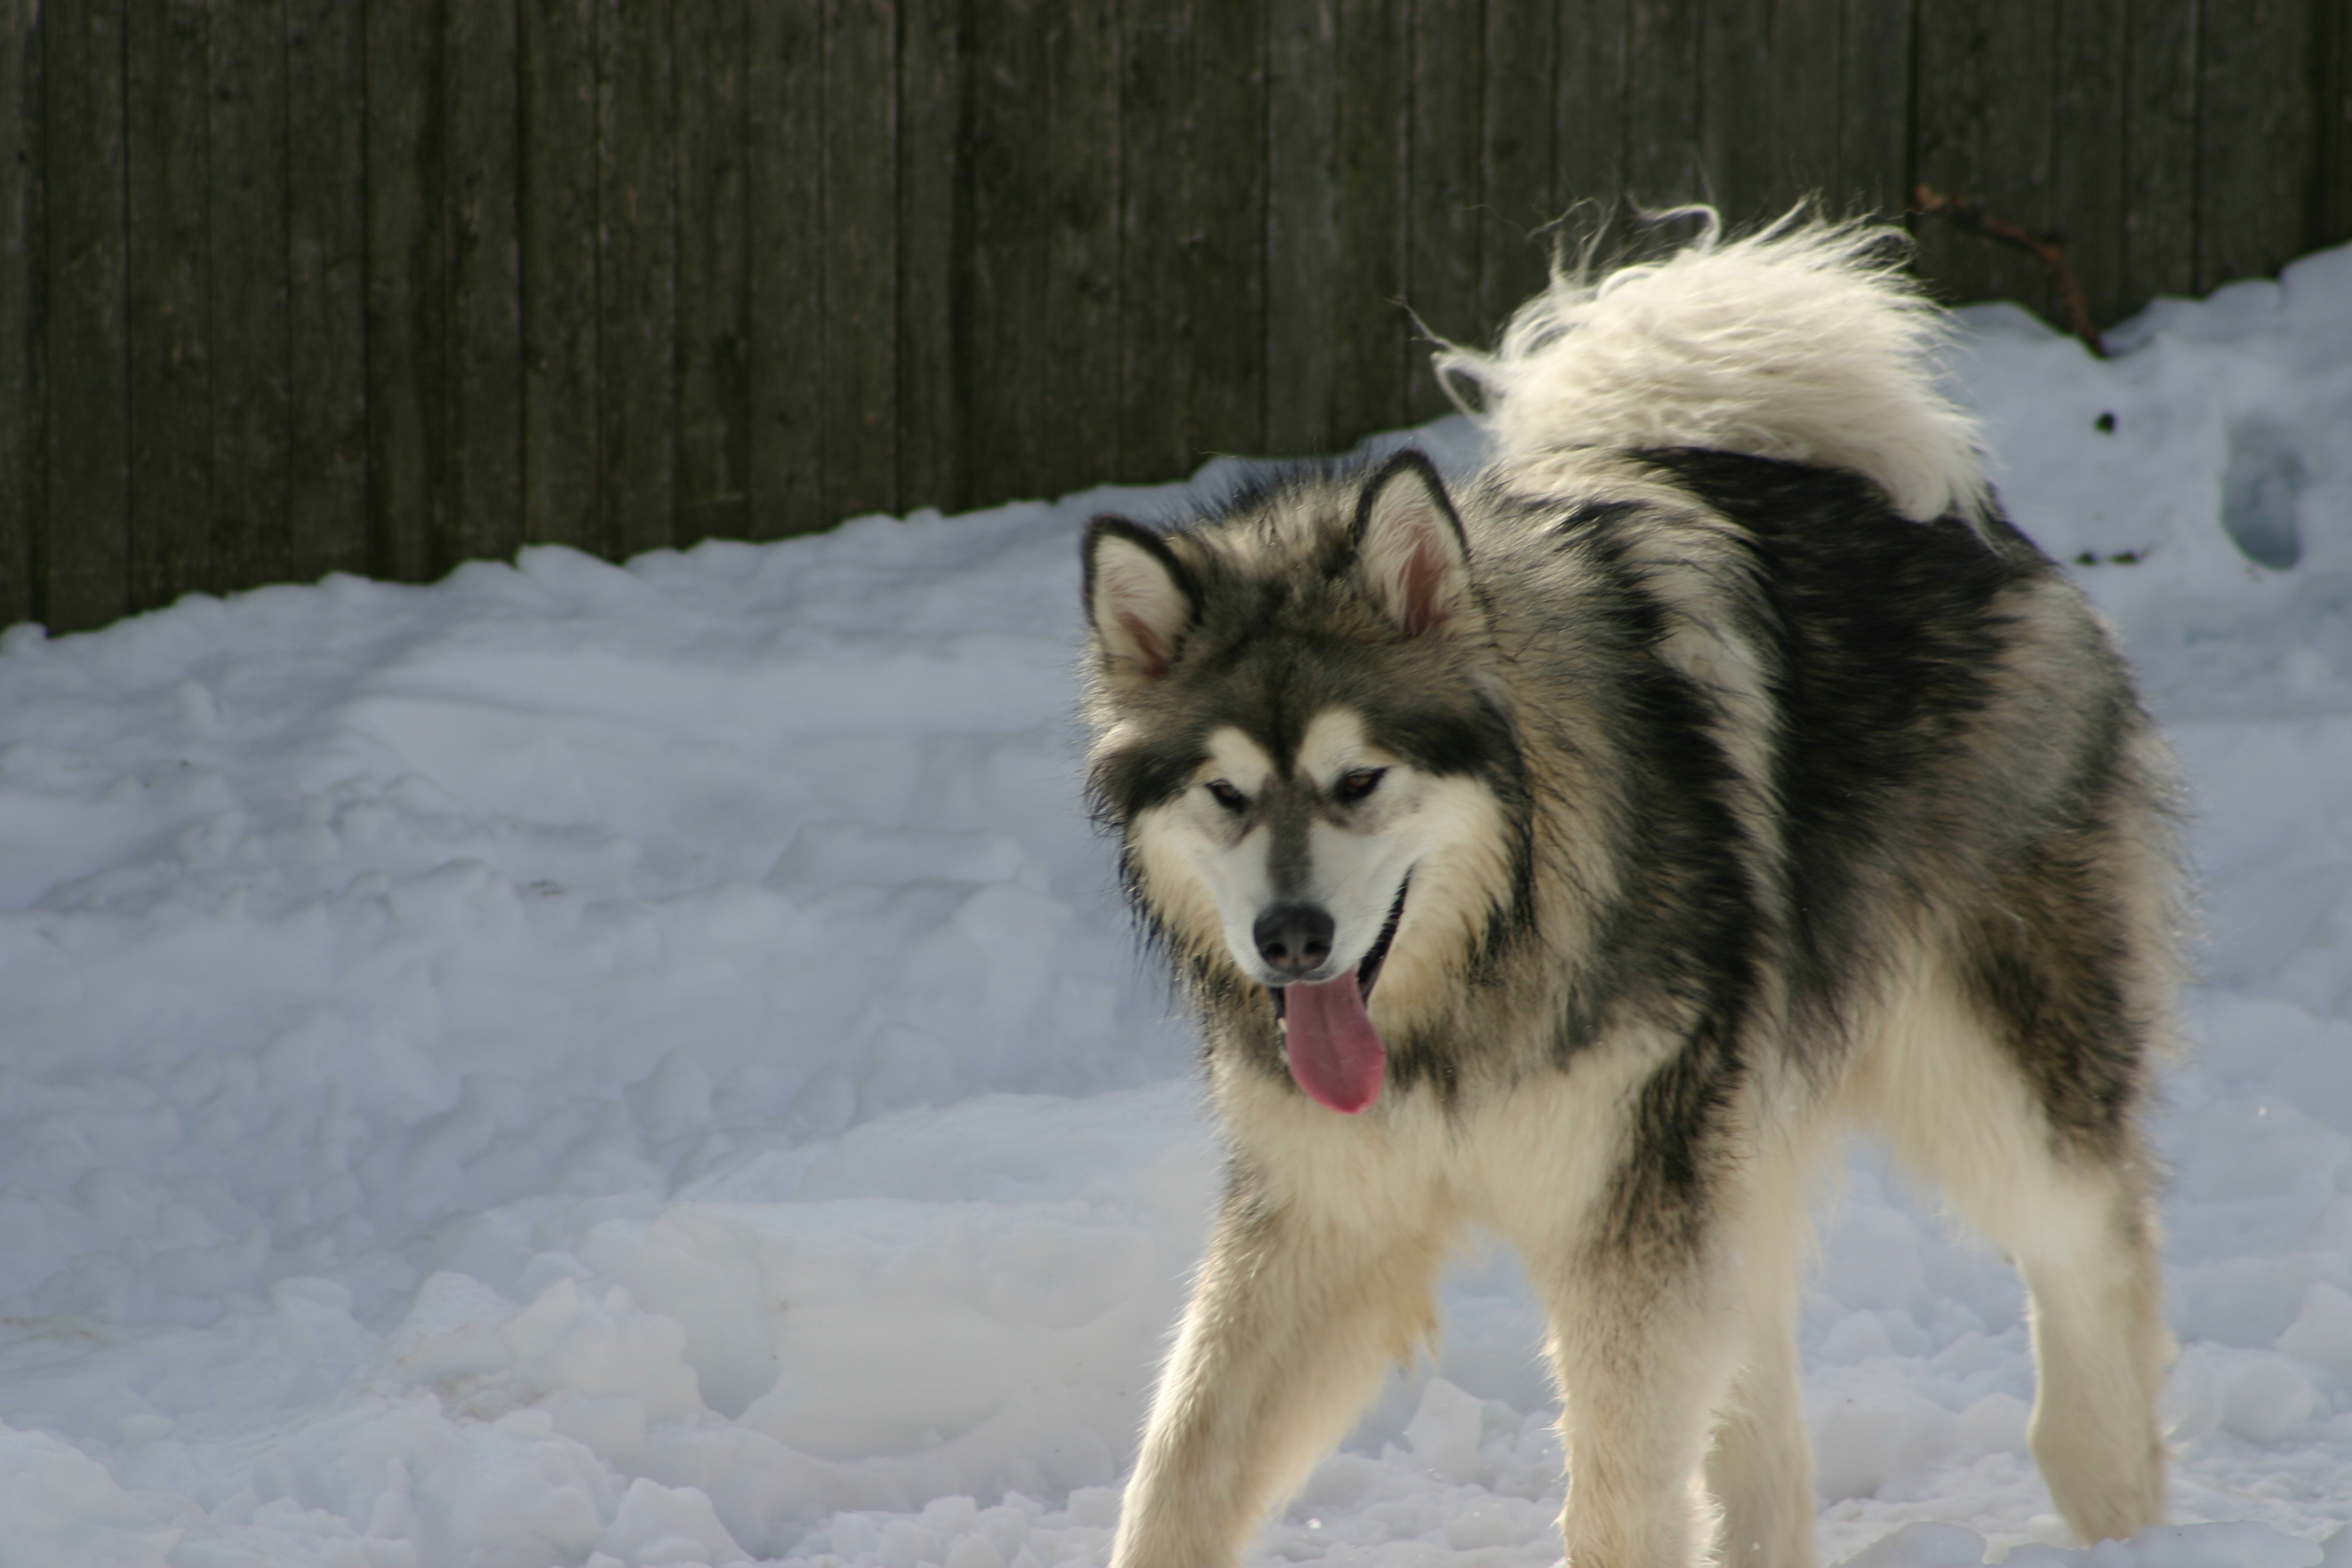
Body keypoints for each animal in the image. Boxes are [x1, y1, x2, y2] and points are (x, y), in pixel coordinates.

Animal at [1076, 211, 2173, 1568]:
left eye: (1358, 779)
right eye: (1225, 793)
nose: (1291, 940)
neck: (1481, 969)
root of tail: (1946, 517)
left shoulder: (1628, 1226)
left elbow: (1617, 1499)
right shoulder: (1330, 1219)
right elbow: (1176, 1480)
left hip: (1978, 1074)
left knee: (2092, 1238)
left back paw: (2113, 1496)